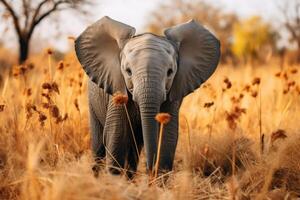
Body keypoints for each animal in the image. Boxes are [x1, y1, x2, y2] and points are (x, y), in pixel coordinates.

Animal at [75, 16, 220, 177]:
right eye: (128, 71)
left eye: (170, 72)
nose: (149, 171)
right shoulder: (117, 90)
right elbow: (116, 134)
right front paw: (114, 181)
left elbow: (168, 137)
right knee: (99, 145)